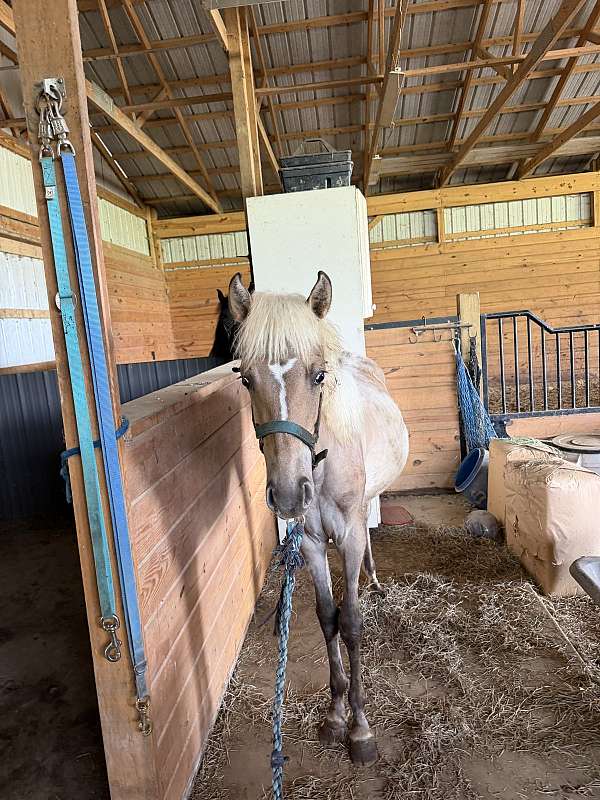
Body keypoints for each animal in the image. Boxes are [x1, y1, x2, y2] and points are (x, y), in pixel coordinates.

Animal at [228, 270, 409, 766]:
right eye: (246, 380)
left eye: (319, 375)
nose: (290, 494)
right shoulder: (309, 541)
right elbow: (328, 616)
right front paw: (335, 715)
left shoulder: (346, 536)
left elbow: (351, 623)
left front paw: (361, 729)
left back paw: (375, 579)